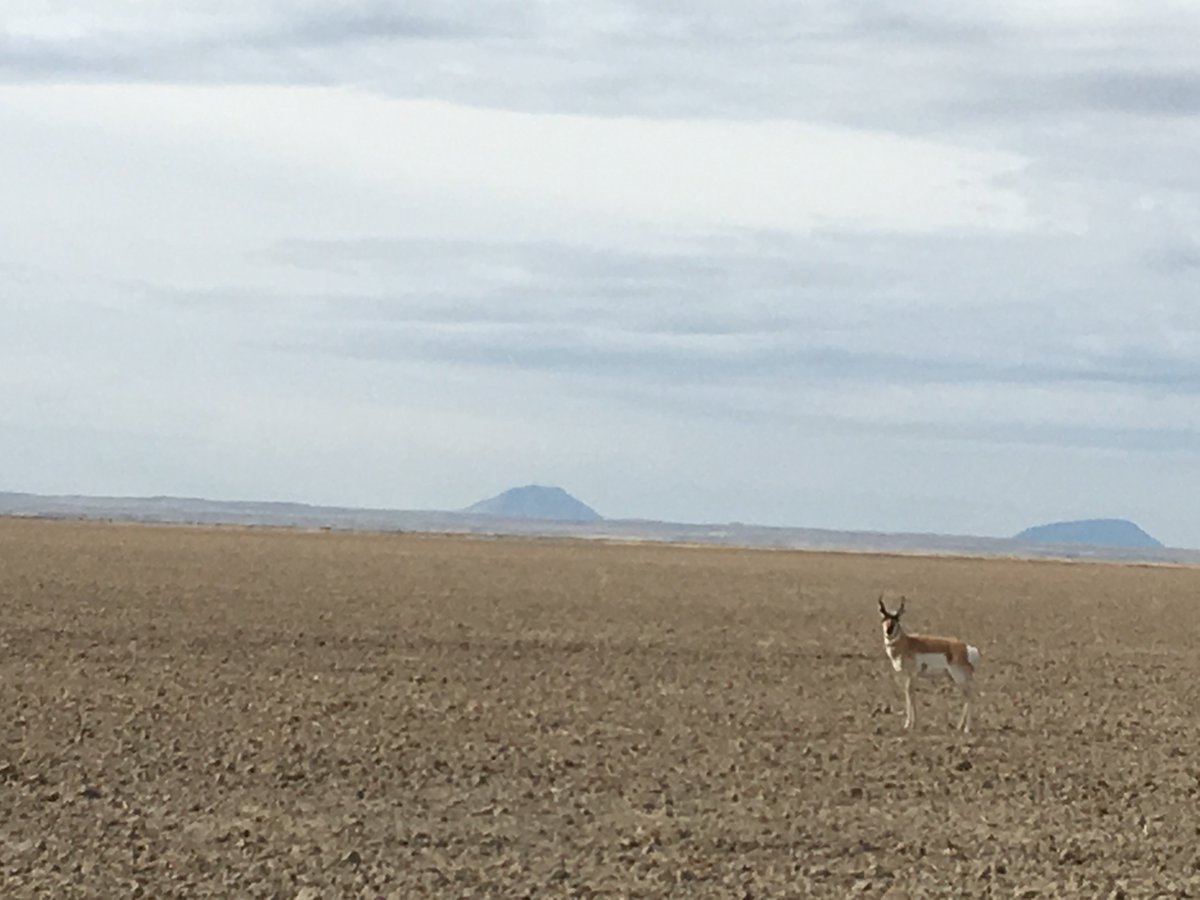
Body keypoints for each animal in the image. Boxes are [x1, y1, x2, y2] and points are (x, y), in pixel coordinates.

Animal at [879, 596, 980, 733]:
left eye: (897, 619)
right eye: (884, 618)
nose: (889, 631)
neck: (907, 643)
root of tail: (966, 648)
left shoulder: (912, 674)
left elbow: (910, 694)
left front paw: (910, 724)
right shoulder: (907, 675)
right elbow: (908, 693)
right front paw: (910, 724)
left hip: (959, 678)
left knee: (969, 696)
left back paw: (967, 729)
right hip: (954, 678)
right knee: (966, 697)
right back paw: (959, 726)